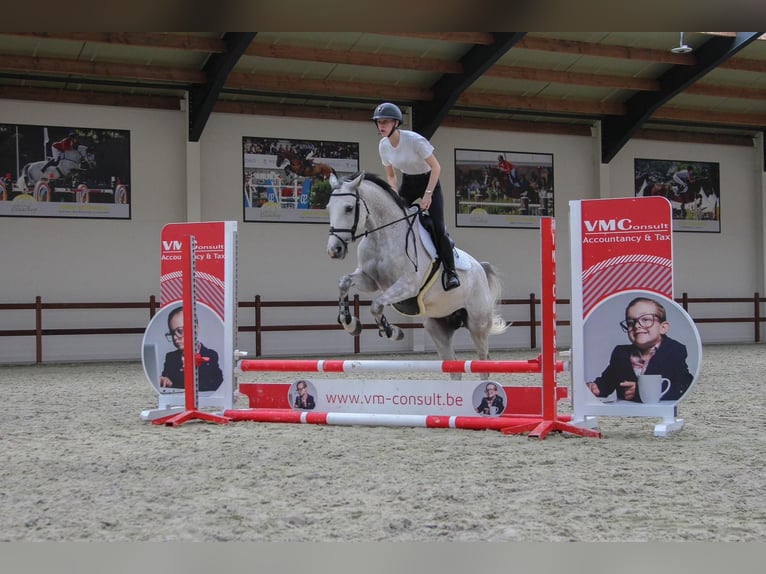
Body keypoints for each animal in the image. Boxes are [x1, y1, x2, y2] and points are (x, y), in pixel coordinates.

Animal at [326, 171, 510, 380]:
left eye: (349, 208)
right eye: (328, 208)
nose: (334, 250)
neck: (383, 236)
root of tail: (480, 268)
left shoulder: (408, 286)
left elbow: (376, 304)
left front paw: (391, 331)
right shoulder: (369, 280)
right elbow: (344, 283)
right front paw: (350, 324)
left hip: (477, 325)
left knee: (483, 363)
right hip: (437, 326)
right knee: (454, 367)